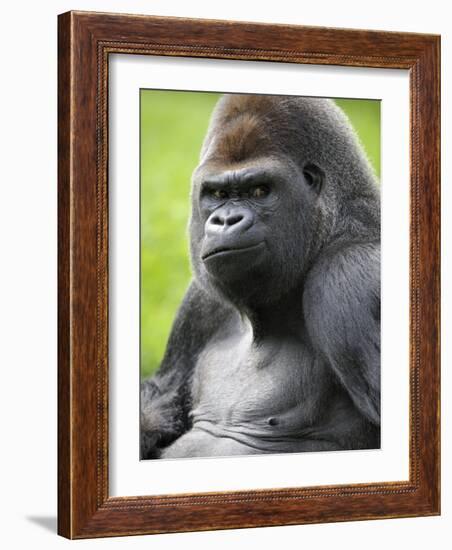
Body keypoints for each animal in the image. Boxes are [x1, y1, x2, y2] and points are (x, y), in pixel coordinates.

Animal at [139, 94, 380, 462]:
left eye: (259, 190)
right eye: (218, 195)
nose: (226, 220)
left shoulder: (348, 275)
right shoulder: (200, 300)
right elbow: (161, 401)